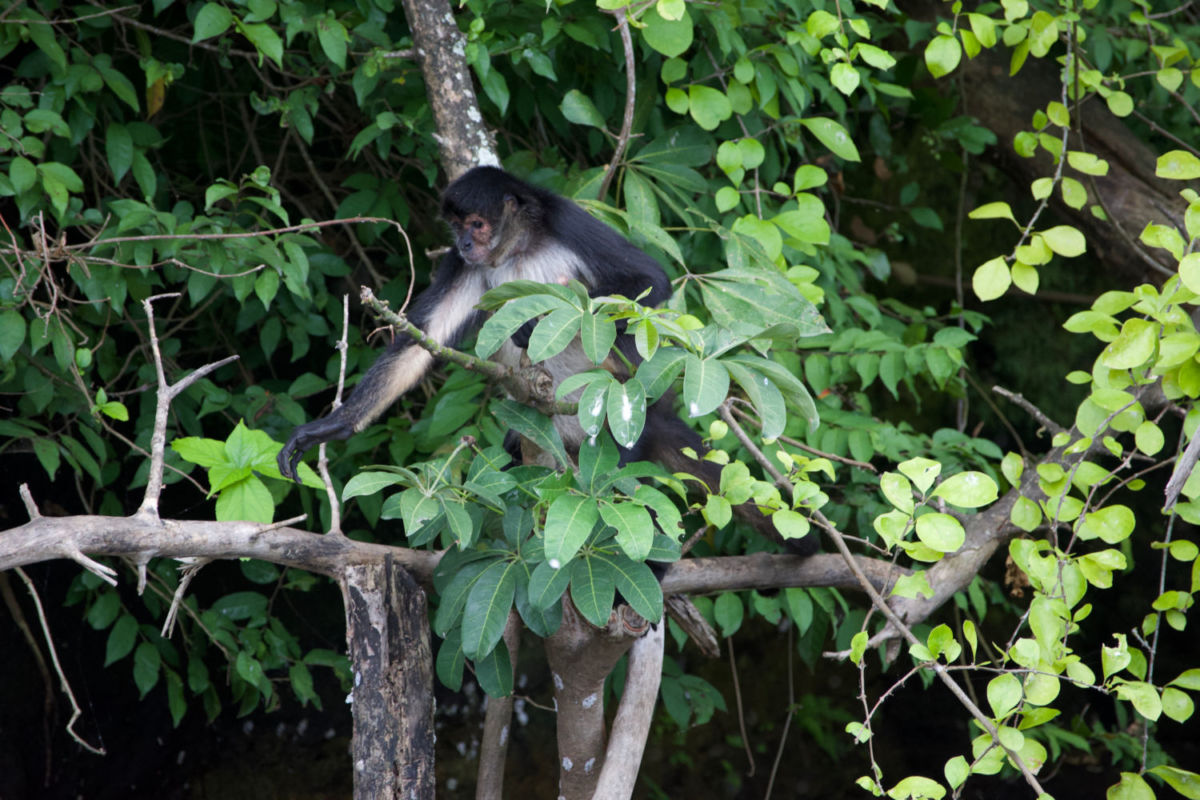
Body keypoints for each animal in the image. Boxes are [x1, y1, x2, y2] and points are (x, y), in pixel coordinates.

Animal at [277, 166, 816, 556]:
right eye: (456, 227)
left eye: (477, 224)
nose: (465, 243)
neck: (518, 246)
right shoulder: (463, 265)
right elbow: (417, 344)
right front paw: (332, 426)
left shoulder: (566, 219)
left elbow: (651, 279)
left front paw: (535, 324)